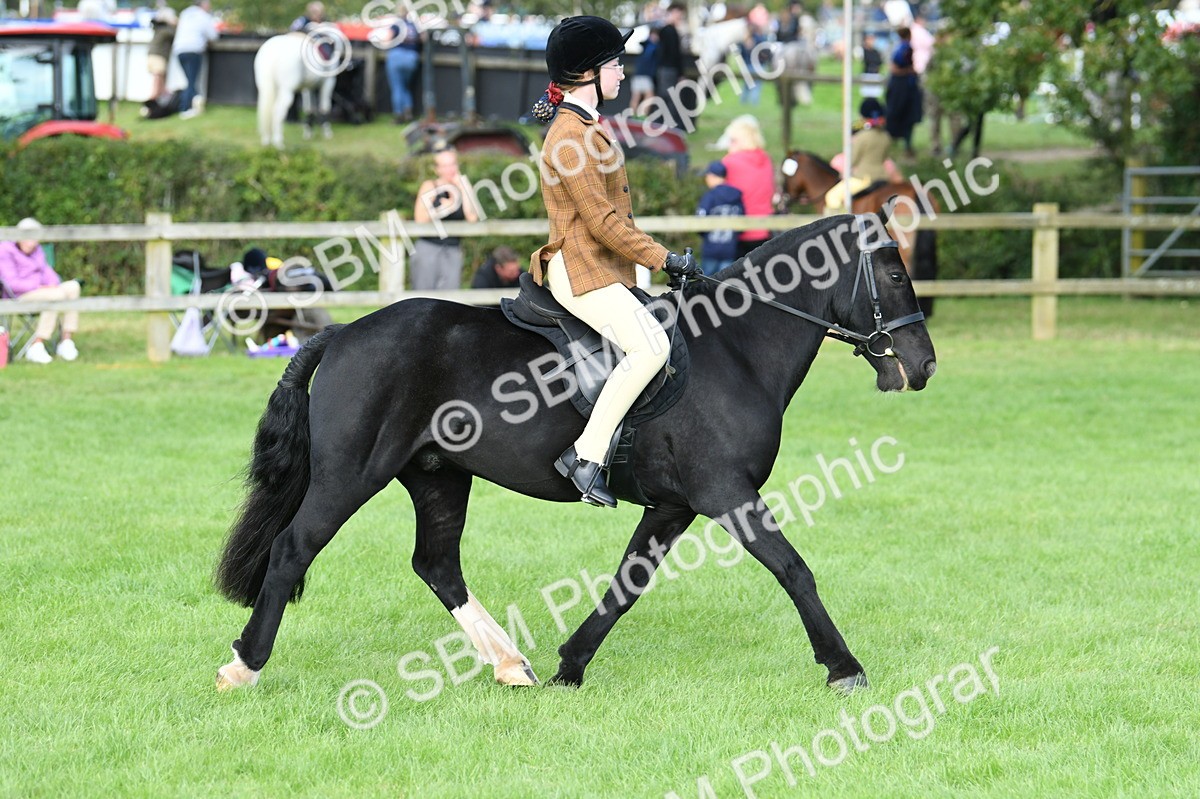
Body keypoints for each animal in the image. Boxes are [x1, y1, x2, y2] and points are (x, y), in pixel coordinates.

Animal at [213, 213, 937, 695]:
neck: (735, 347)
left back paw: (512, 664)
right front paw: (844, 667)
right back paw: (244, 664)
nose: (923, 364)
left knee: (437, 565)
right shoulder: (726, 493)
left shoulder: (673, 507)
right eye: (894, 271)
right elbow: (794, 570)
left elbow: (626, 586)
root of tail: (341, 333)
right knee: (292, 548)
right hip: (350, 475)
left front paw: (571, 663)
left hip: (438, 476)